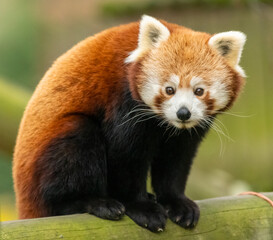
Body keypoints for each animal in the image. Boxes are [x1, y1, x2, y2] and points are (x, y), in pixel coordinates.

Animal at [13, 15, 244, 232]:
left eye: (199, 91)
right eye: (169, 89)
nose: (183, 113)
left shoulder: (185, 133)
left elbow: (175, 160)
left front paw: (177, 203)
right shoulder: (124, 102)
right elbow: (126, 156)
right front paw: (142, 208)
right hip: (50, 160)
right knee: (77, 140)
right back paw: (93, 202)